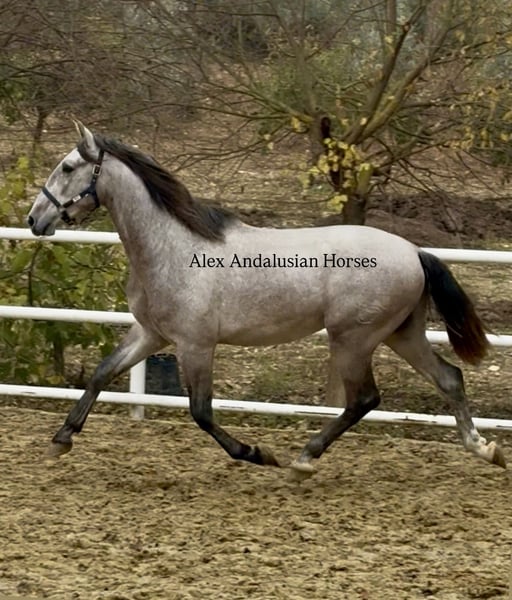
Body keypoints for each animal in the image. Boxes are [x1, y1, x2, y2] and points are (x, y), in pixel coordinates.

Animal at [27, 121, 506, 478]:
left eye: (67, 167)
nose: (35, 219)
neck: (173, 247)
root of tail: (414, 251)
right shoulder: (151, 335)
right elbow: (101, 374)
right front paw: (60, 440)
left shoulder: (195, 345)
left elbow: (201, 412)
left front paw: (259, 454)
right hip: (400, 334)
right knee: (449, 378)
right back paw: (484, 449)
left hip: (353, 340)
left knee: (365, 400)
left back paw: (303, 460)